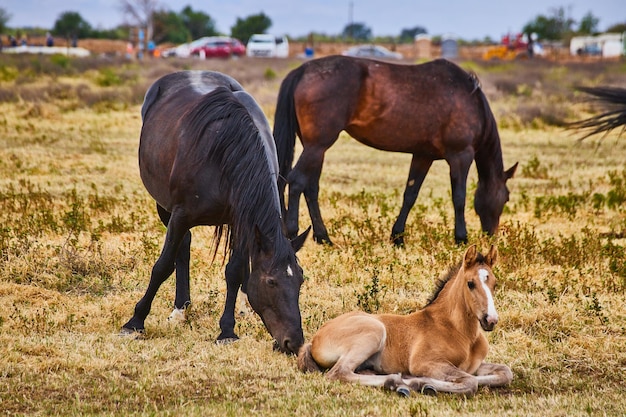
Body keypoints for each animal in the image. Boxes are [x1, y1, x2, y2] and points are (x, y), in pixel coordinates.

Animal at [119, 71, 308, 354]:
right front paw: (135, 321)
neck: (227, 154)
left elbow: (235, 270)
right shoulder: (180, 215)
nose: (293, 342)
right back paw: (180, 309)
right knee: (182, 248)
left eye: (300, 281)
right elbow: (163, 266)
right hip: (164, 207)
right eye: (271, 282)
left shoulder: (241, 219)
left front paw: (227, 330)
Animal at [272, 54, 516, 244]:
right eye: (506, 198)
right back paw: (292, 232)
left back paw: (323, 237)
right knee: (296, 181)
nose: (491, 236)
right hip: (317, 146)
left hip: (314, 148)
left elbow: (410, 194)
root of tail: (303, 71)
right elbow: (459, 197)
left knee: (310, 188)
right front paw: (461, 238)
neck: (469, 99)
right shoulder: (460, 156)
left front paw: (397, 237)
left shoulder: (423, 156)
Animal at [298, 245, 512, 394]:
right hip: (374, 331)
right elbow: (469, 381)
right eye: (470, 283)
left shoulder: (474, 365)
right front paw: (421, 382)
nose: (491, 320)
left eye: (494, 283)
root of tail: (314, 339)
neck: (460, 332)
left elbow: (504, 372)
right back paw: (396, 382)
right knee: (339, 372)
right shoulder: (424, 363)